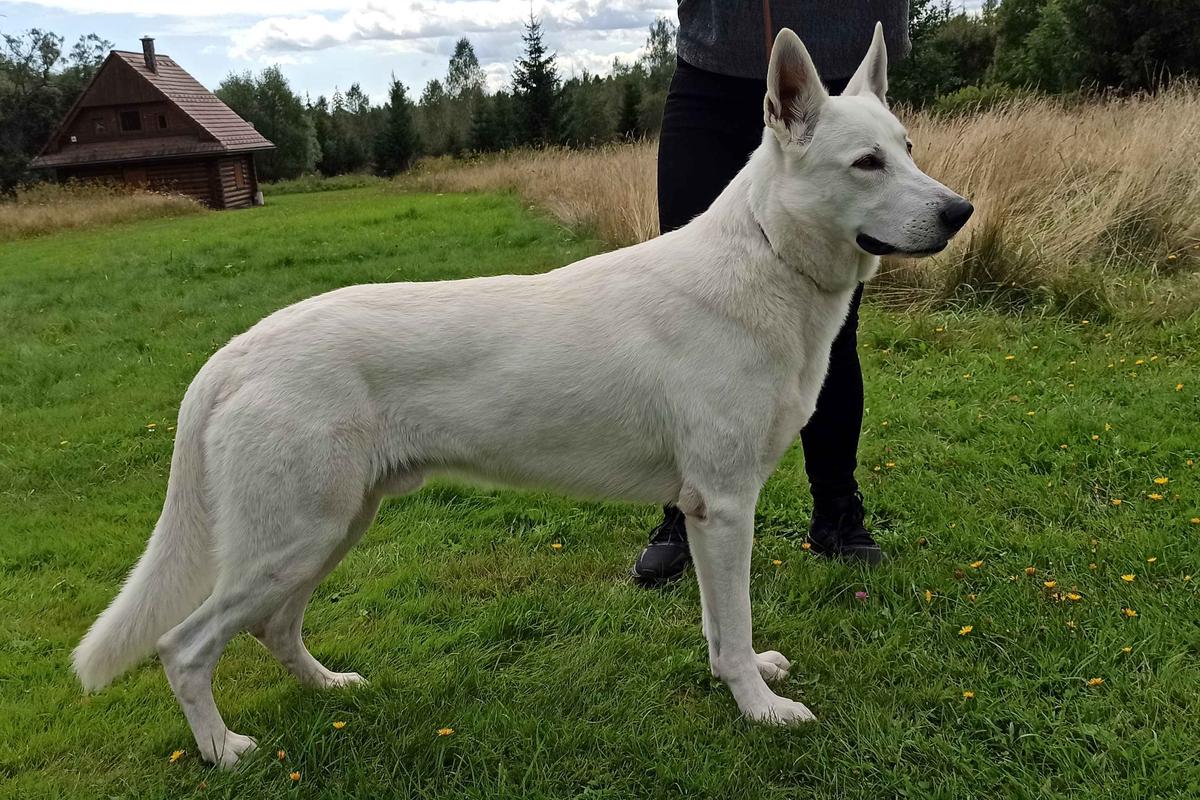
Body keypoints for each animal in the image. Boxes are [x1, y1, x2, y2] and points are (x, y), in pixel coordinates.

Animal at [72, 26, 974, 767]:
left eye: (909, 148)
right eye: (866, 165)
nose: (961, 211)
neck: (769, 260)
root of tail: (234, 354)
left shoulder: (710, 511)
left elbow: (723, 629)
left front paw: (750, 678)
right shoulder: (722, 508)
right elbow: (732, 626)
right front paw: (760, 708)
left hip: (329, 528)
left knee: (272, 628)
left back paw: (329, 690)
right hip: (291, 537)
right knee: (186, 647)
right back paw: (223, 751)